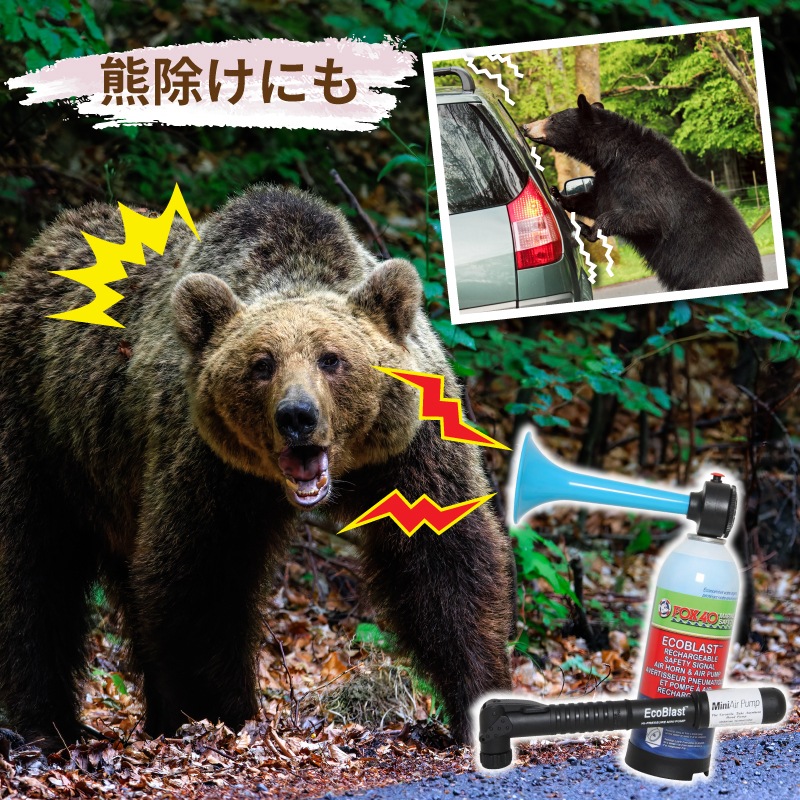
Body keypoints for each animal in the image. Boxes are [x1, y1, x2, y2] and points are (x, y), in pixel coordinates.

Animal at [0, 185, 516, 754]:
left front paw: (479, 703)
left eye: (331, 358)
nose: (296, 416)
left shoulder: (410, 451)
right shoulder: (210, 465)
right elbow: (201, 577)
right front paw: (222, 713)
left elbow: (444, 559)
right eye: (262, 363)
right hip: (38, 432)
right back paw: (49, 725)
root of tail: (43, 244)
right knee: (34, 573)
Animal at [523, 95, 764, 291]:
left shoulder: (646, 179)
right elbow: (594, 201)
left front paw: (588, 228)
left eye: (552, 118)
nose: (526, 126)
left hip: (714, 274)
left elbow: (649, 216)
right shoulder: (609, 178)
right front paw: (558, 194)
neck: (615, 155)